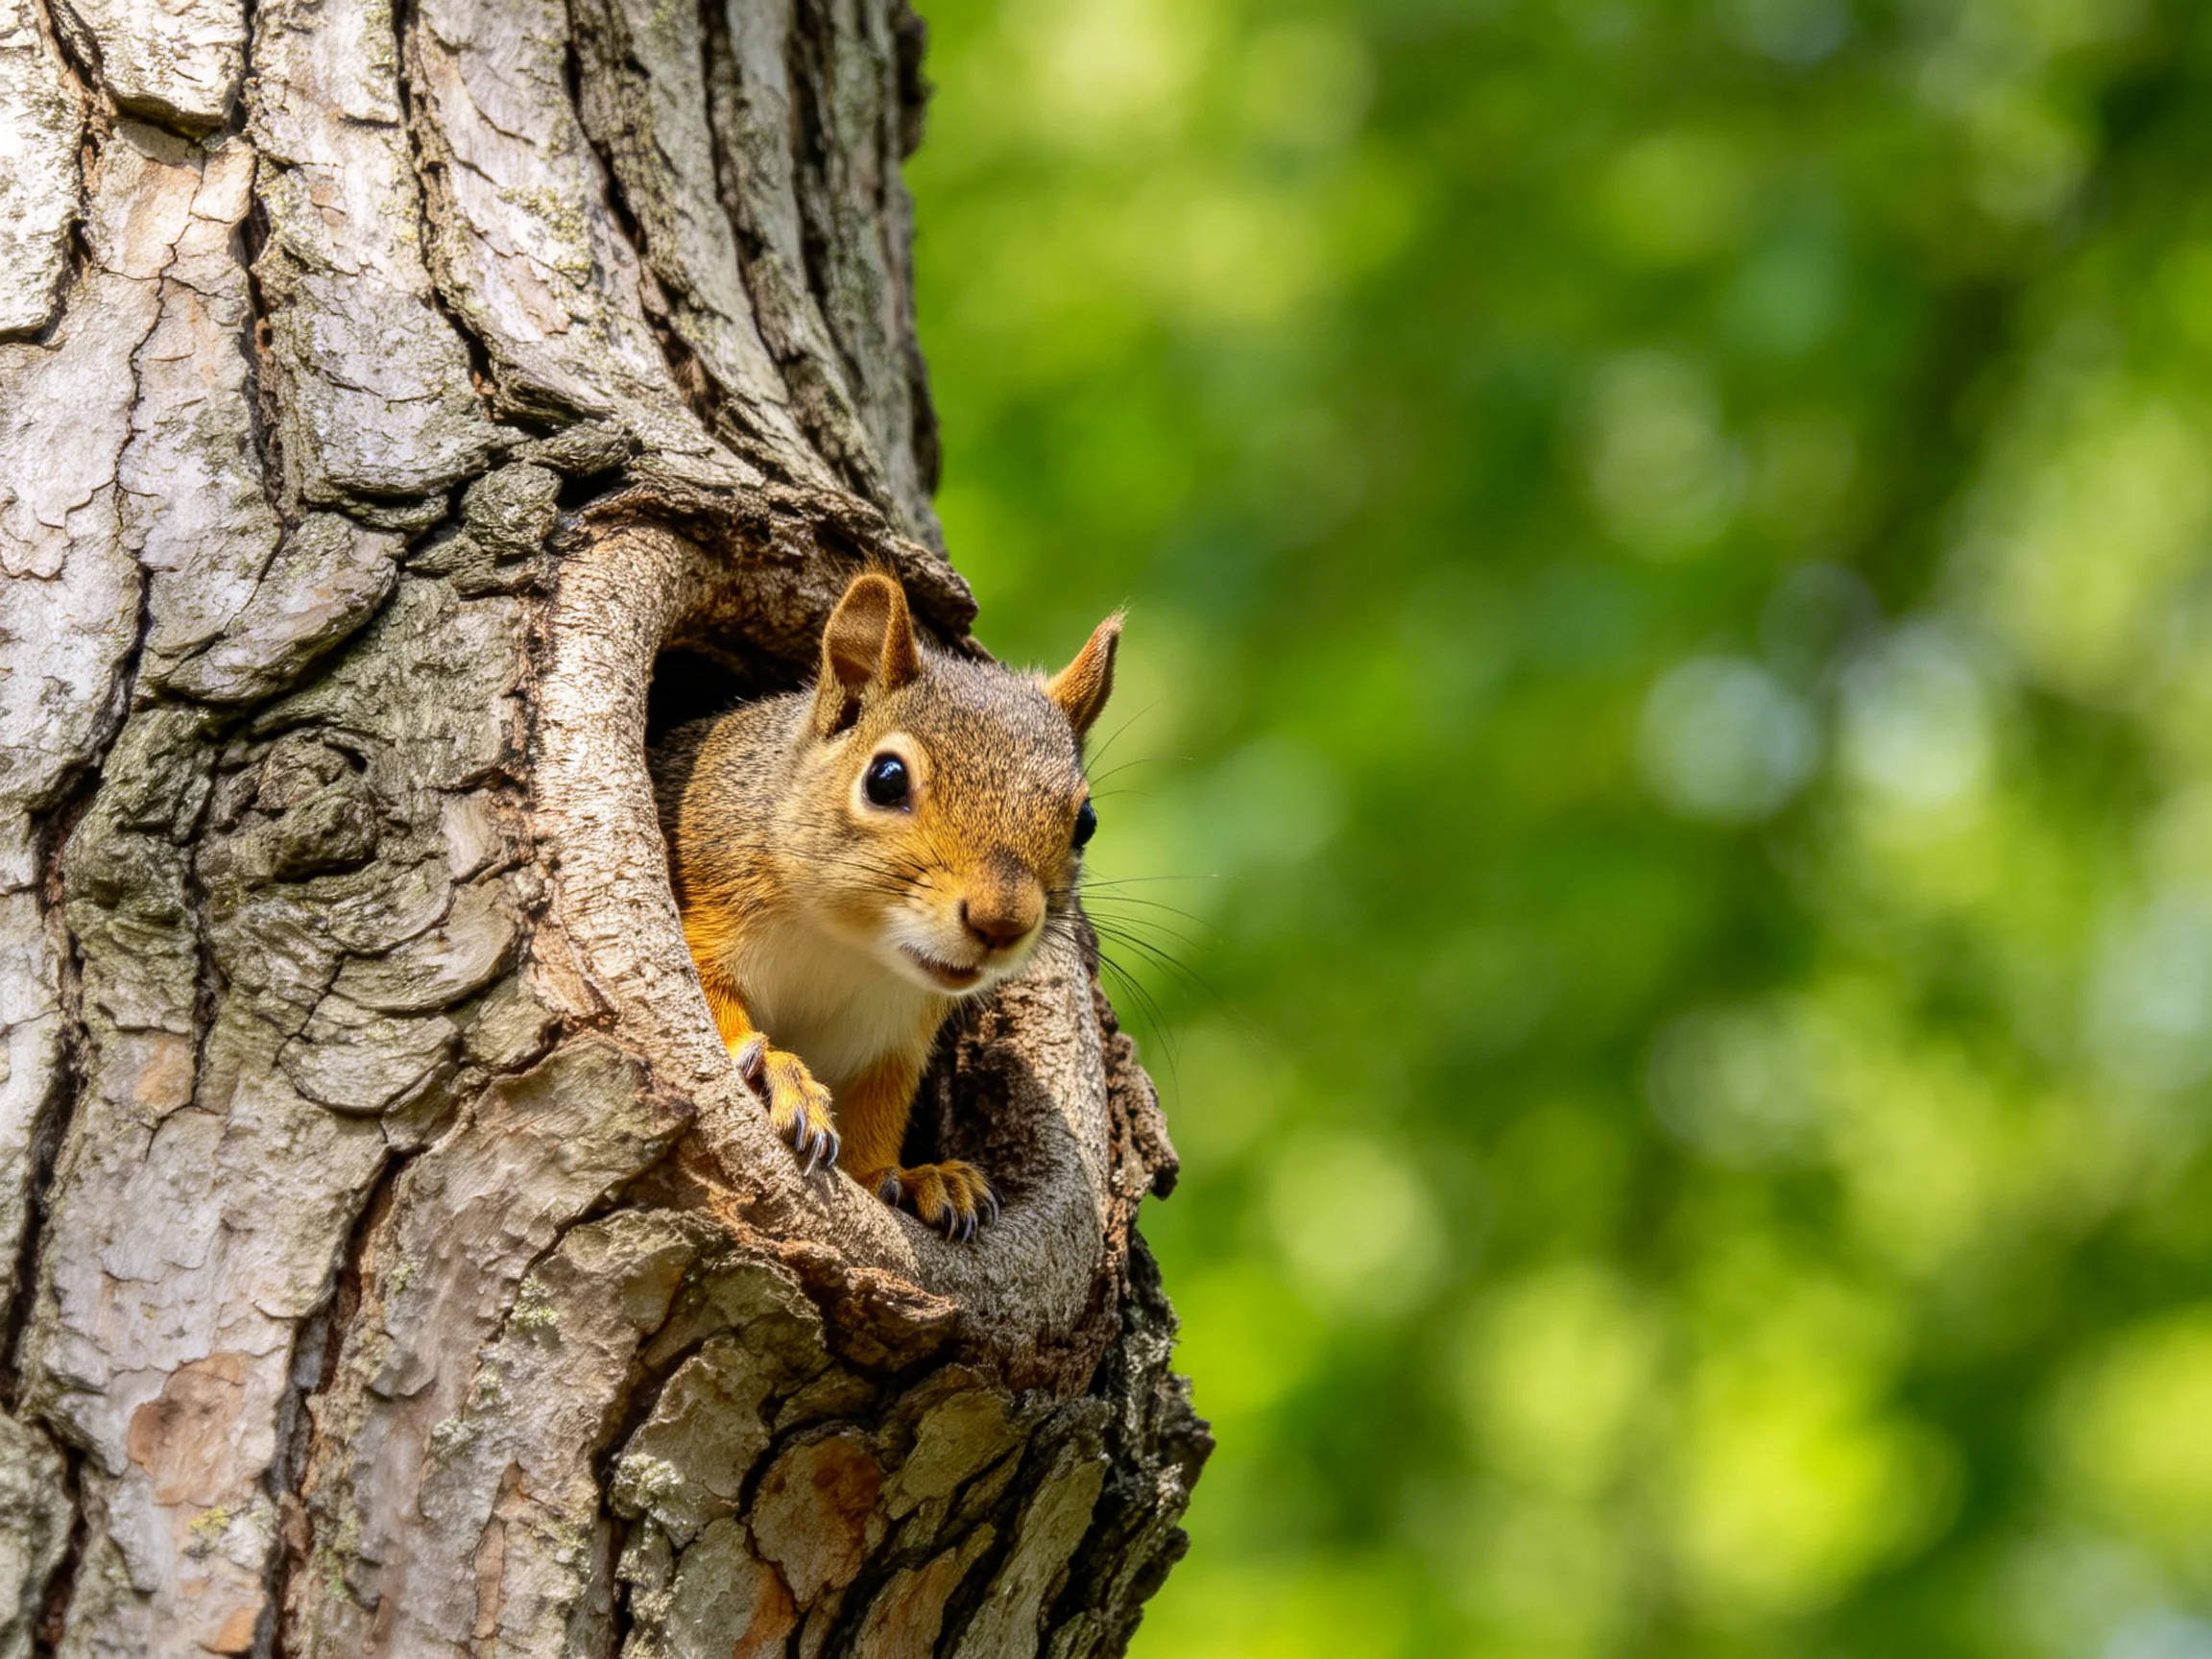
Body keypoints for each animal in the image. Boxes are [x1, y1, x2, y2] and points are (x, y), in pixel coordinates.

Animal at [654, 572, 1119, 1242]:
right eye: (886, 778)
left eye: (1086, 821)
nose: (1001, 921)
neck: (847, 945)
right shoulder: (705, 899)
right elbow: (709, 1003)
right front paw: (777, 1072)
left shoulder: (892, 1038)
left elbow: (876, 1114)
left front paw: (917, 1178)